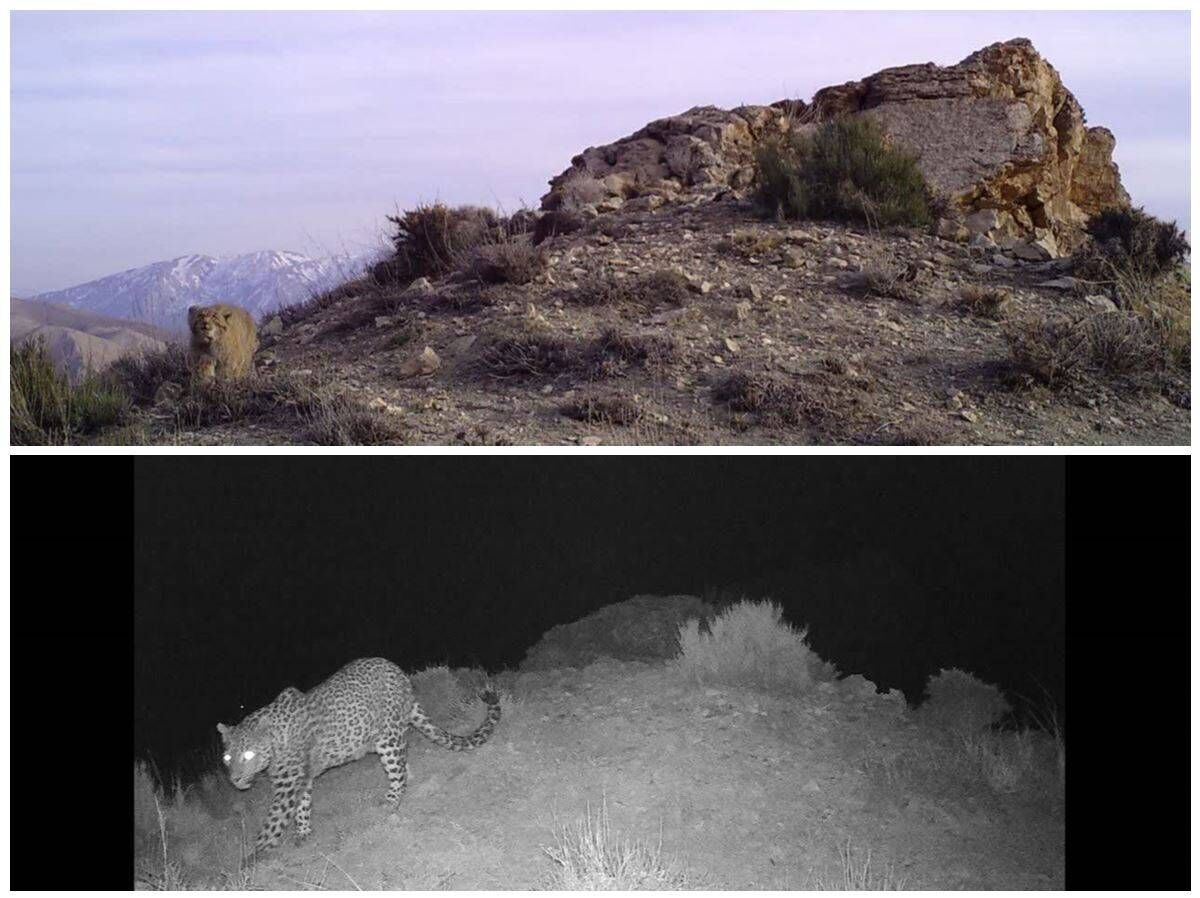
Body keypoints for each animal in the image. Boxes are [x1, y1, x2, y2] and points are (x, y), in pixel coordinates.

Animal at [217, 657, 501, 854]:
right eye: (227, 759)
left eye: (249, 754)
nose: (235, 780)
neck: (275, 739)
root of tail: (399, 673)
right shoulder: (300, 780)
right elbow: (302, 807)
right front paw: (303, 833)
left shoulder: (288, 784)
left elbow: (273, 823)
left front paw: (254, 857)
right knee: (404, 761)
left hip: (386, 737)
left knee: (397, 770)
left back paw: (390, 803)